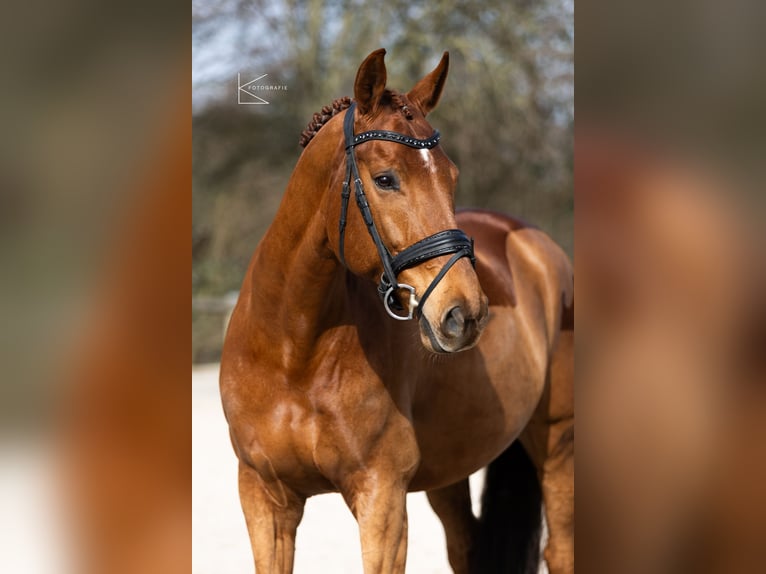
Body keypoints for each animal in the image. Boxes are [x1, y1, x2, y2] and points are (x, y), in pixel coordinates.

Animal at [220, 48, 574, 574]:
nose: (465, 314)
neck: (292, 351)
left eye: (451, 176)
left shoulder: (382, 500)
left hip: (557, 443)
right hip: (451, 467)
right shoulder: (265, 499)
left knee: (561, 548)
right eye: (385, 180)